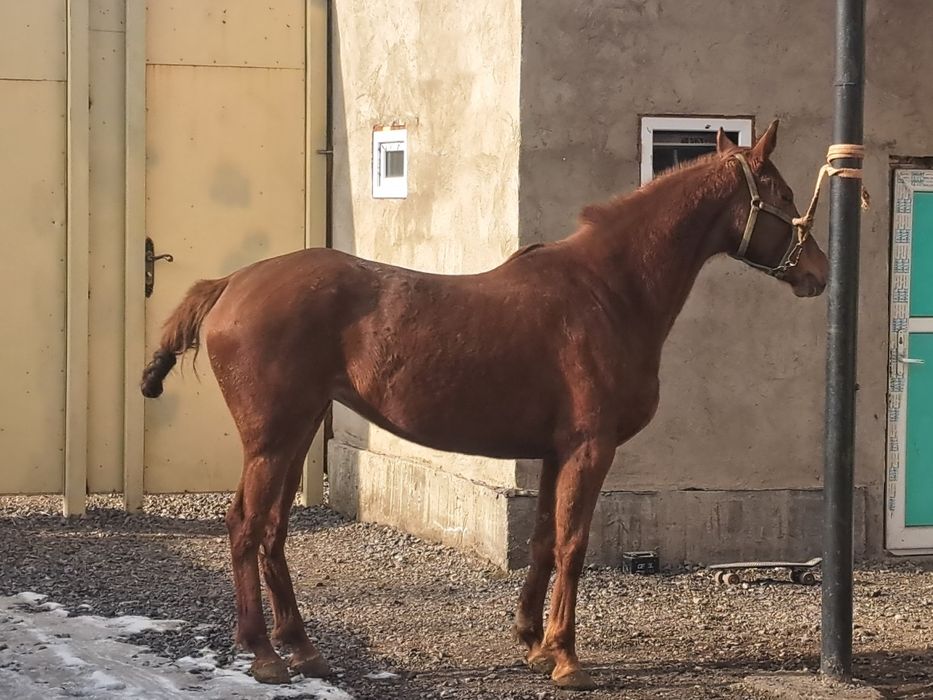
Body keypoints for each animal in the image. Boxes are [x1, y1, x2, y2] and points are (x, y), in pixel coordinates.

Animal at [140, 120, 828, 691]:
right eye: (784, 194)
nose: (818, 273)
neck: (609, 292)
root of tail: (232, 283)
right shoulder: (591, 448)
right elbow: (574, 543)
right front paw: (567, 659)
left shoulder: (556, 453)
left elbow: (545, 539)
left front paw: (534, 643)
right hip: (273, 437)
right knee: (245, 526)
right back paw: (263, 653)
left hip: (298, 430)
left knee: (273, 530)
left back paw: (302, 648)